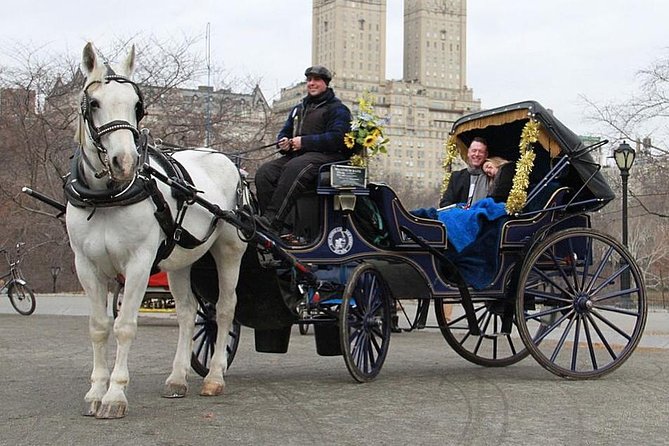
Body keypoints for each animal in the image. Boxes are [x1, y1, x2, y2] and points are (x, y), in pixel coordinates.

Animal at [65, 41, 247, 418]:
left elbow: (124, 327)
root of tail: (225, 157)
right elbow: (99, 327)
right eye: (94, 103)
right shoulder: (86, 265)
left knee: (225, 309)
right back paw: (177, 377)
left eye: (137, 105)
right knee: (188, 313)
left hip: (229, 252)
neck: (106, 197)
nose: (125, 162)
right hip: (180, 261)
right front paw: (95, 392)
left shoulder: (138, 262)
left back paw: (215, 376)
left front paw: (115, 395)